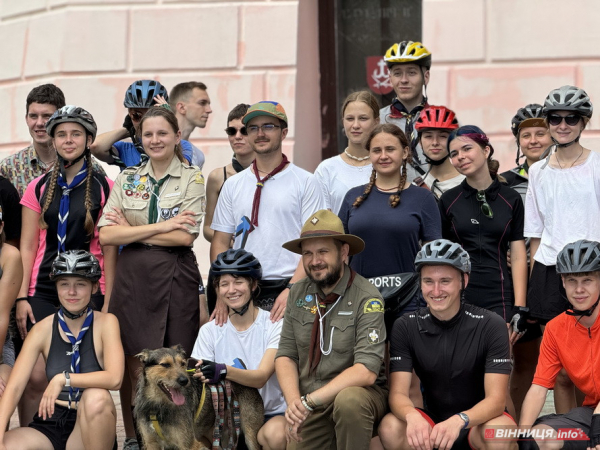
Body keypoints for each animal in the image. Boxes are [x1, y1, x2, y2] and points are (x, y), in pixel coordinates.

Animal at [135, 346, 264, 448]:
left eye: (183, 363)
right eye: (165, 365)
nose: (184, 381)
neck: (157, 406)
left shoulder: (189, 444)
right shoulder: (151, 443)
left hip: (250, 435)